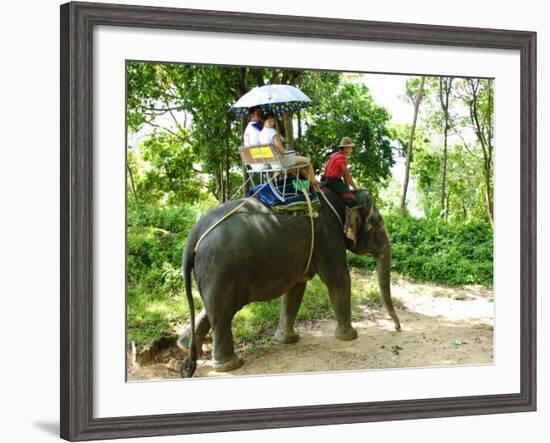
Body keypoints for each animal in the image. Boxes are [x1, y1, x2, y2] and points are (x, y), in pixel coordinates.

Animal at [181, 187, 402, 378]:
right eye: (379, 226)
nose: (398, 328)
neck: (342, 199)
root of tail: (194, 235)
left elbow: (296, 288)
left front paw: (287, 340)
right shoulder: (328, 236)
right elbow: (338, 279)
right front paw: (349, 337)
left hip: (214, 273)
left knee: (212, 309)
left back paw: (186, 347)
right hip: (222, 268)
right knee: (223, 313)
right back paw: (229, 365)